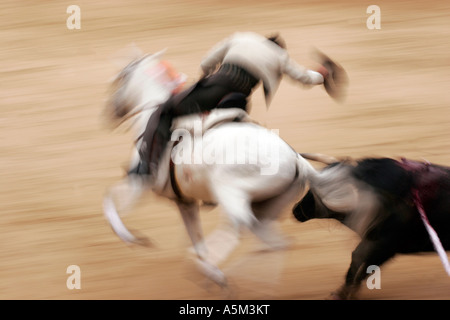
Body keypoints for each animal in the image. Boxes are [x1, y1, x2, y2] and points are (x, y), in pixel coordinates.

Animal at [102, 50, 320, 288]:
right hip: (268, 208)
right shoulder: (184, 202)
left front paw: (131, 238)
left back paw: (212, 272)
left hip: (230, 193)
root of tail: (297, 160)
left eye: (120, 79)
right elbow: (195, 236)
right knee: (275, 242)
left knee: (237, 229)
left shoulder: (138, 184)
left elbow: (110, 202)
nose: (111, 112)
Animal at [292, 156, 450, 298]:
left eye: (327, 192)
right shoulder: (373, 241)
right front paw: (344, 292)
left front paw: (344, 294)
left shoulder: (385, 247)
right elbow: (358, 262)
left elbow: (363, 267)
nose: (296, 210)